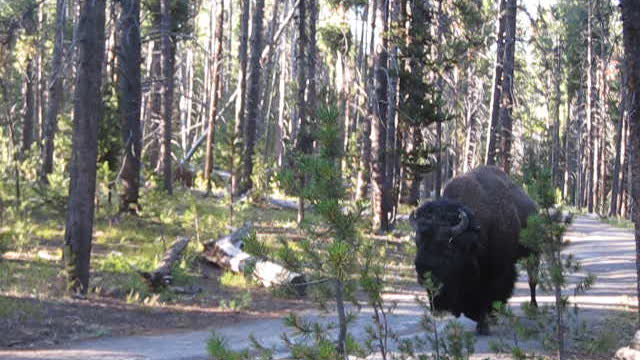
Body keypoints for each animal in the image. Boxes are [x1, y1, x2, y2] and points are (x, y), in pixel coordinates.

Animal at [410, 166, 536, 334]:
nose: (422, 271)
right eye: (418, 243)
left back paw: (533, 307)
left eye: (447, 247)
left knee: (532, 280)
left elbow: (489, 296)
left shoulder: (496, 273)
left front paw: (484, 325)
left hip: (534, 253)